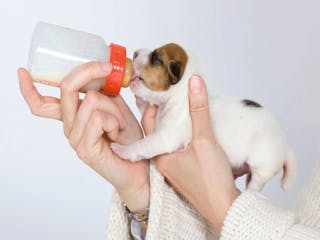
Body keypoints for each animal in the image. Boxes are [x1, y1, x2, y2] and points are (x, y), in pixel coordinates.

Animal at [111, 42, 296, 190]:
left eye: (155, 57)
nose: (135, 52)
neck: (179, 96)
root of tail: (285, 145)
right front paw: (140, 101)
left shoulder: (165, 138)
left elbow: (142, 145)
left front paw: (122, 150)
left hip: (262, 161)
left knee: (257, 182)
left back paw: (250, 191)